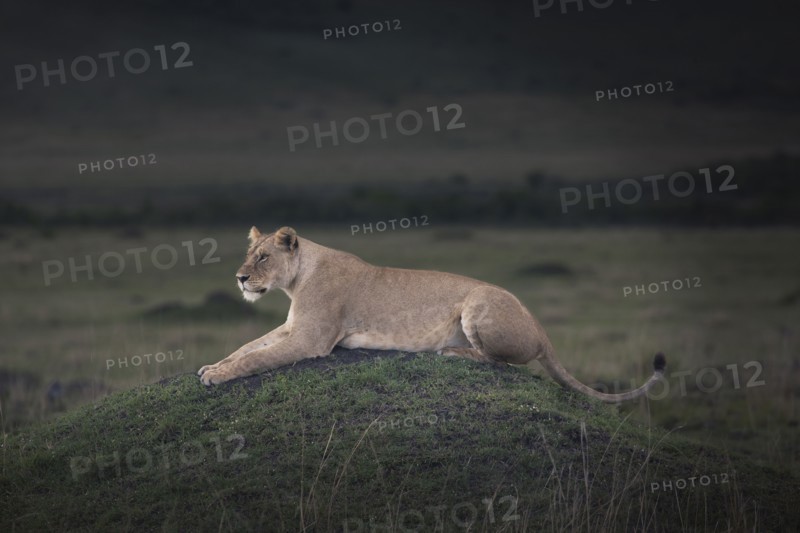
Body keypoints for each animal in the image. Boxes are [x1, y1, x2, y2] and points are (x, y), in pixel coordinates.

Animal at [198, 226, 666, 402]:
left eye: (262, 257)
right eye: (249, 255)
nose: (240, 278)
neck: (299, 276)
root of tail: (542, 329)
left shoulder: (311, 340)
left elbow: (258, 358)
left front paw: (217, 377)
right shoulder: (293, 327)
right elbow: (248, 347)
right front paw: (211, 366)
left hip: (478, 302)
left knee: (501, 361)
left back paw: (451, 352)